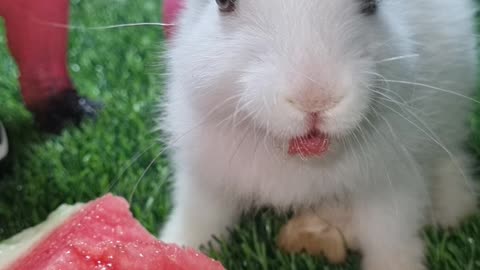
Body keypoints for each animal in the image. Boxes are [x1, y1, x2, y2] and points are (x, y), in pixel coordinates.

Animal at [159, 1, 478, 268]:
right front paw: (175, 246)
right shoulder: (204, 174)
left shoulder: (393, 182)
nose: (314, 100)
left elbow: (390, 236)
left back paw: (453, 209)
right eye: (224, 3)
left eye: (371, 4)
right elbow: (200, 215)